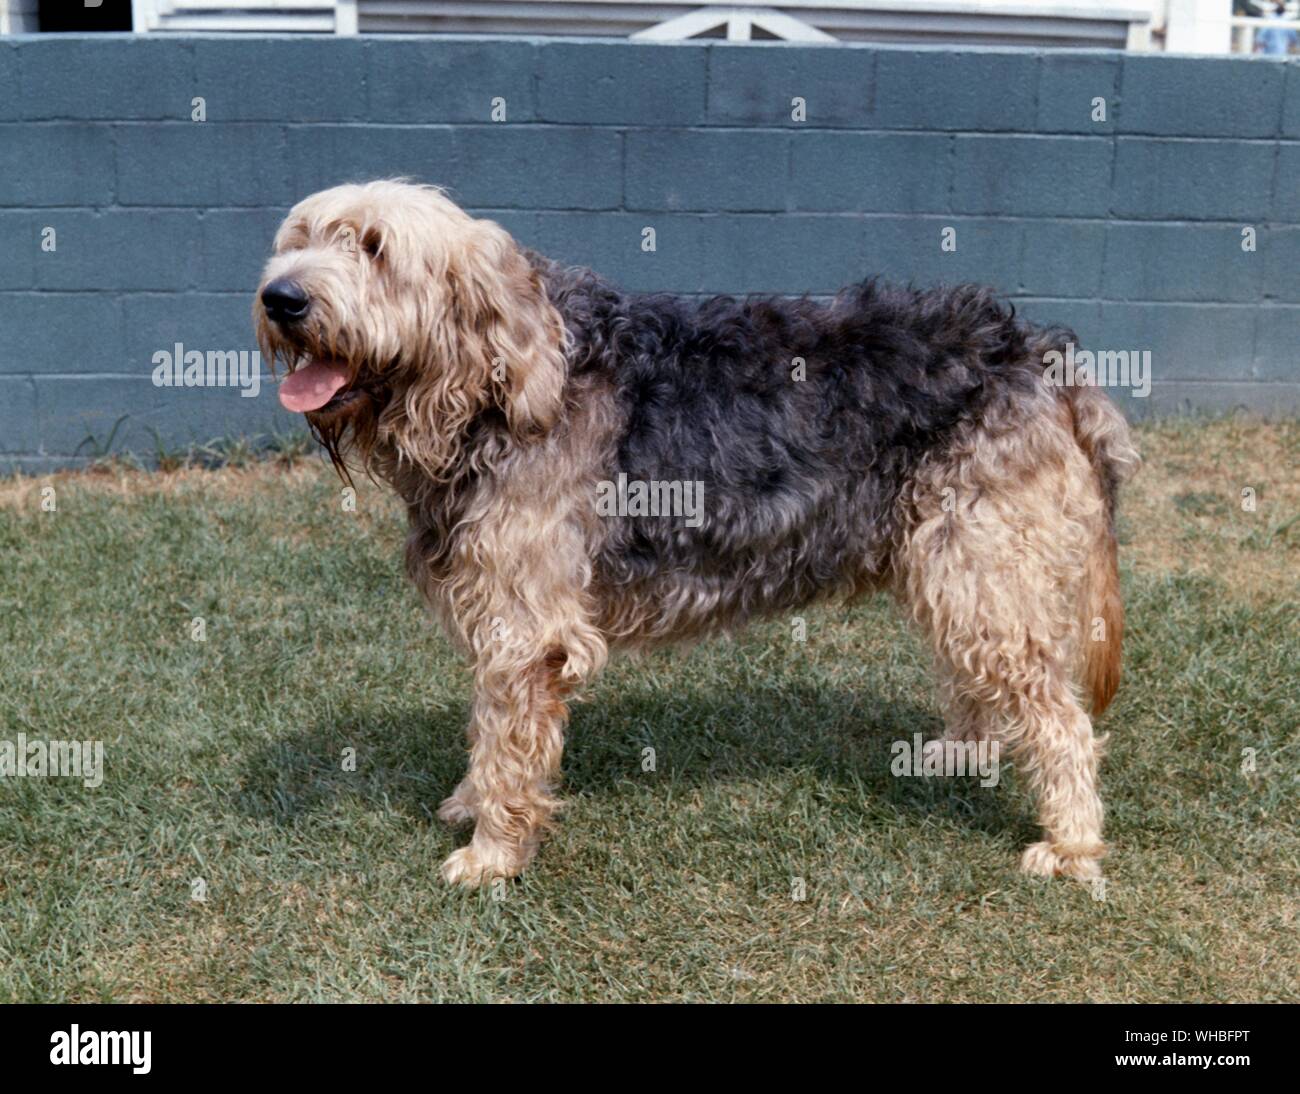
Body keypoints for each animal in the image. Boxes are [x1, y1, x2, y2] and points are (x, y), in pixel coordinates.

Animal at [250, 179, 1138, 888]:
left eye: (375, 248)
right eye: (298, 240)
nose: (281, 299)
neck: (486, 394)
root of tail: (1034, 349)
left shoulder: (530, 628)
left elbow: (507, 735)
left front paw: (493, 853)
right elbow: (487, 723)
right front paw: (475, 805)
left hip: (981, 564)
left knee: (1060, 719)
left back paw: (1071, 843)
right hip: (957, 562)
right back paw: (962, 754)